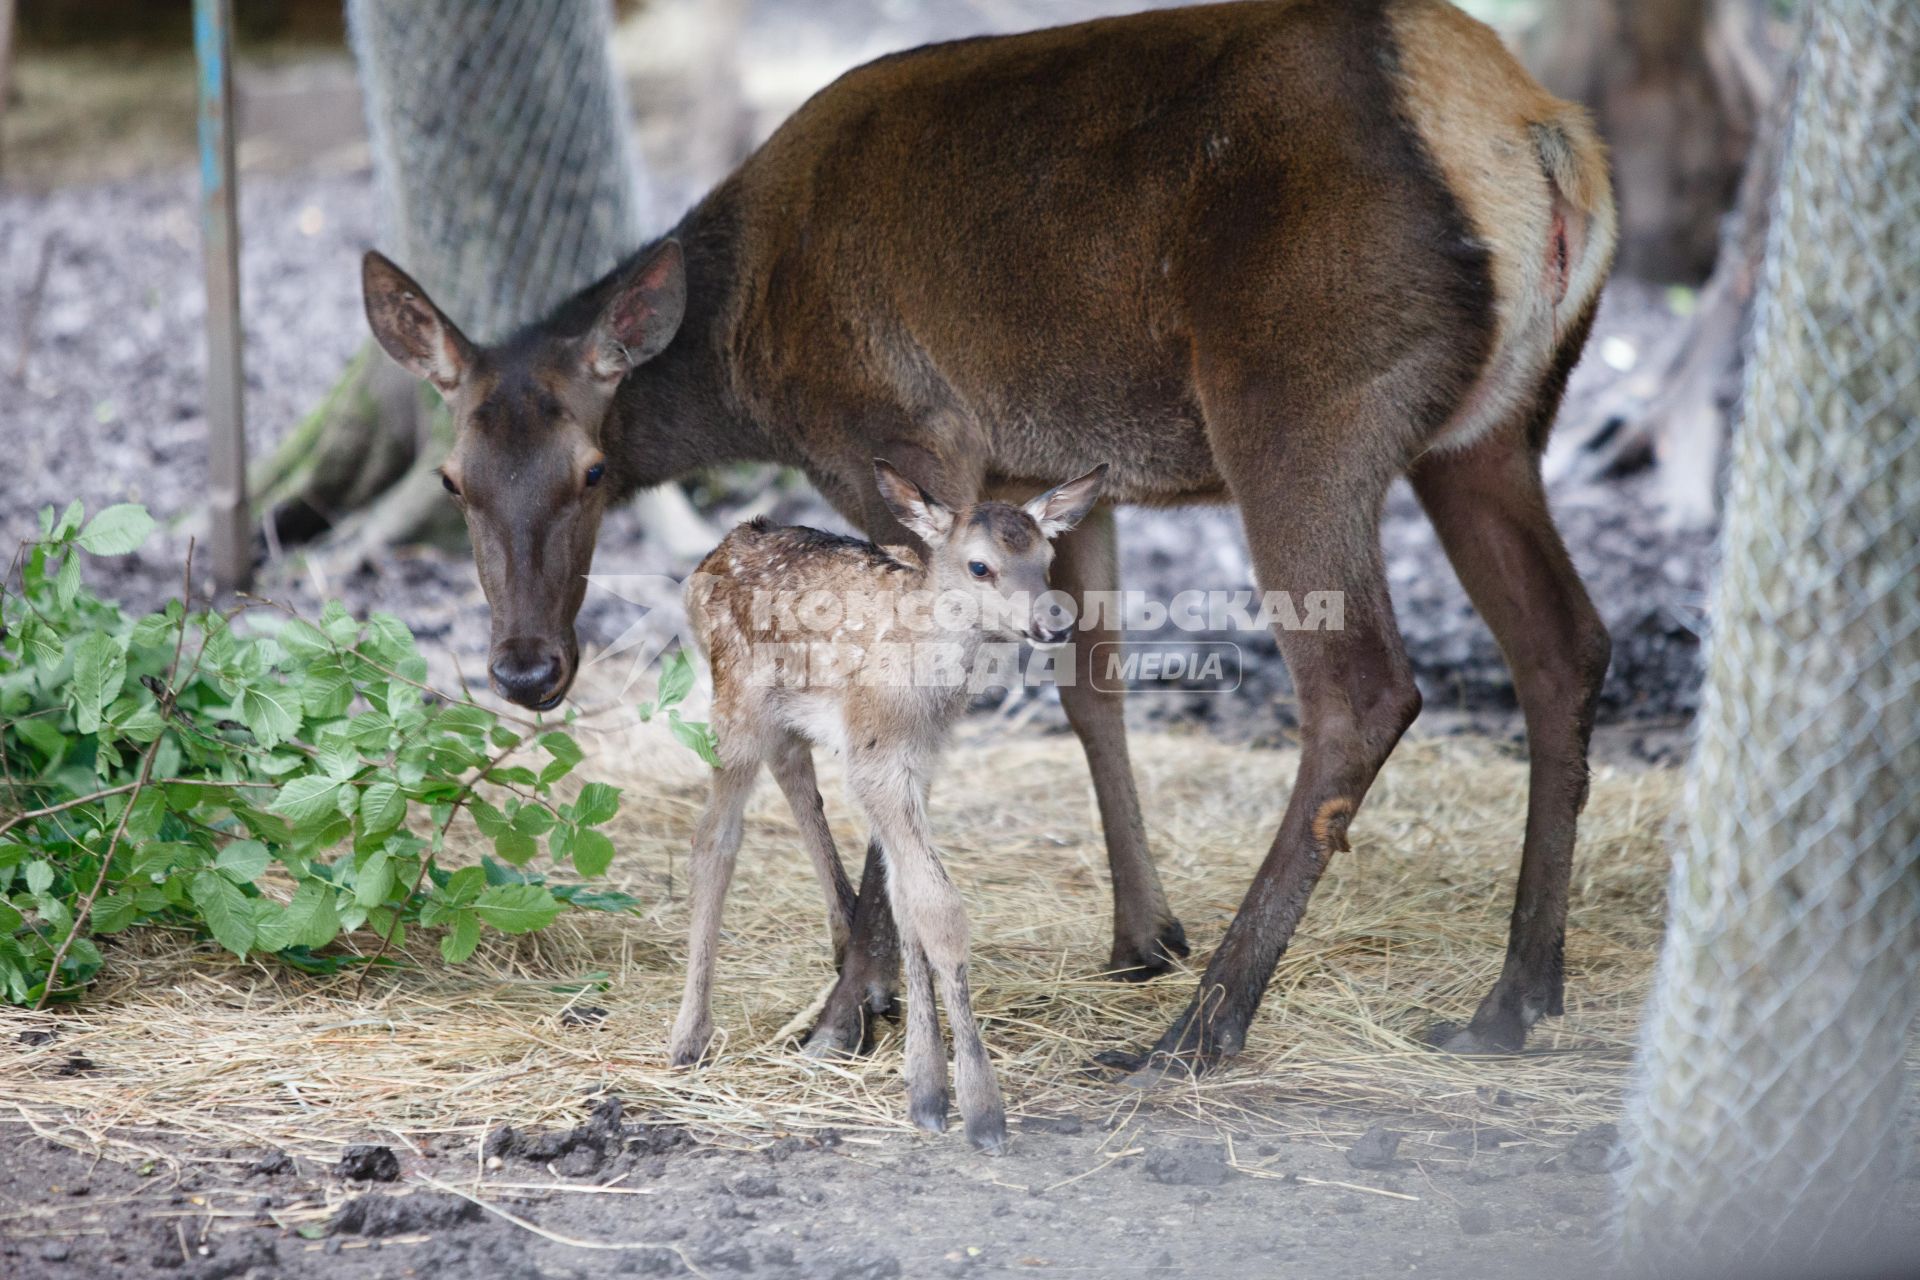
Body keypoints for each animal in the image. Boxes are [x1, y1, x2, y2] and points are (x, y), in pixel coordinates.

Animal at [360, 0, 1605, 1074]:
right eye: (453, 477)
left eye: (593, 471)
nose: (526, 666)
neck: (749, 357)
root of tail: (1539, 137)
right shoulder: (1049, 473)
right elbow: (1092, 684)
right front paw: (1142, 933)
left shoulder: (906, 438)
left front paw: (852, 1004)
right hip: (1494, 433)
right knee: (1567, 642)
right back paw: (1513, 996)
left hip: (1301, 403)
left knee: (1363, 686)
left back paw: (1204, 1028)